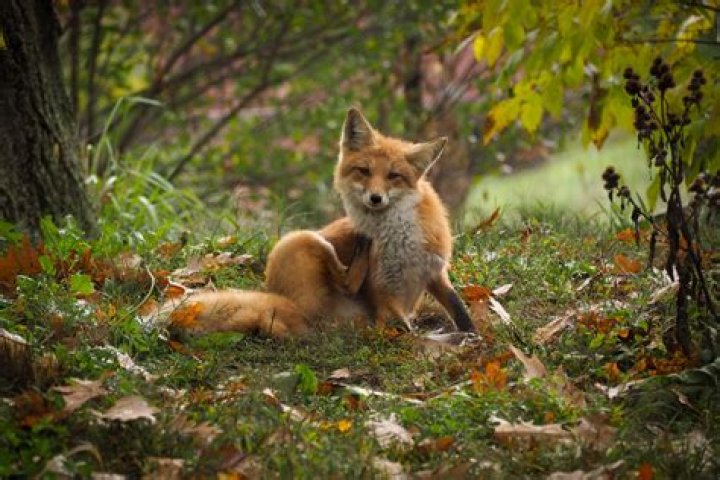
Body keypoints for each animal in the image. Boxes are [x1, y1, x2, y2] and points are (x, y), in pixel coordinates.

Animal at [168, 108, 475, 338]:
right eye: (364, 171)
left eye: (393, 176)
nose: (375, 198)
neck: (400, 239)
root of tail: (278, 298)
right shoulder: (381, 291)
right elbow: (400, 325)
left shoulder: (434, 271)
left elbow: (459, 310)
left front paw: (473, 336)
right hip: (300, 238)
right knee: (344, 282)